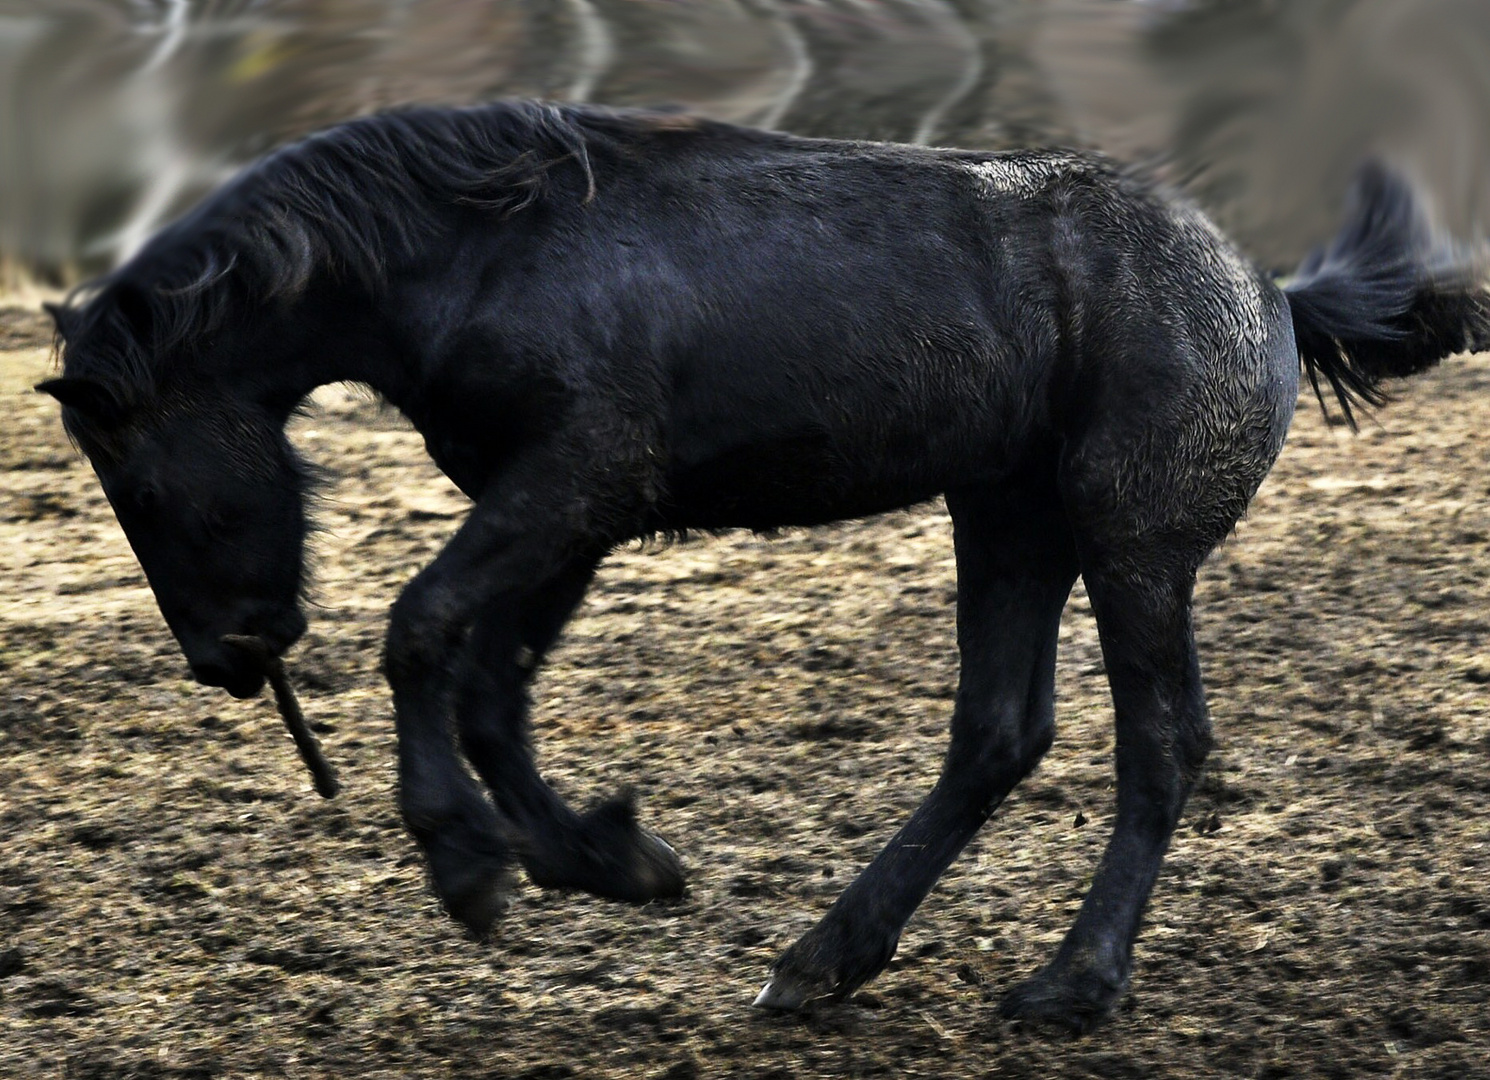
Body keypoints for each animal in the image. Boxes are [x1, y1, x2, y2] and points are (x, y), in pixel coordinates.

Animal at [40, 101, 1484, 1030]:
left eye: (140, 482)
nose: (224, 659)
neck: (482, 245)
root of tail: (1268, 290)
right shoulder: (565, 509)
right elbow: (492, 693)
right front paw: (608, 860)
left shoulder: (574, 480)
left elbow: (421, 632)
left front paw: (469, 868)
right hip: (1004, 520)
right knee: (996, 734)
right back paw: (821, 962)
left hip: (1130, 546)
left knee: (1159, 742)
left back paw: (1068, 987)